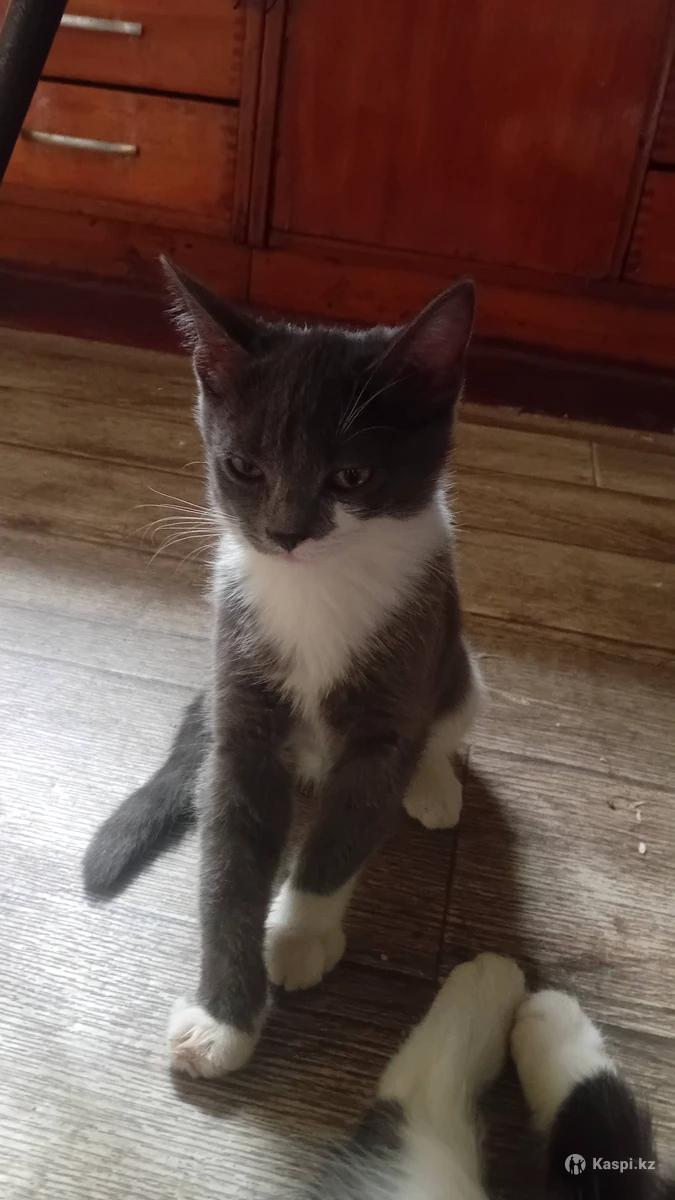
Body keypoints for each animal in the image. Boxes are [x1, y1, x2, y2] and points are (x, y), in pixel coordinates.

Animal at [83, 260, 481, 1078]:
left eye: (352, 476)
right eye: (242, 467)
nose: (287, 532)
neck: (314, 589)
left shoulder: (393, 700)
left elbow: (342, 838)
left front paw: (299, 936)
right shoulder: (241, 708)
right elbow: (227, 865)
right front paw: (223, 1018)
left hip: (457, 661)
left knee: (445, 724)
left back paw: (433, 785)